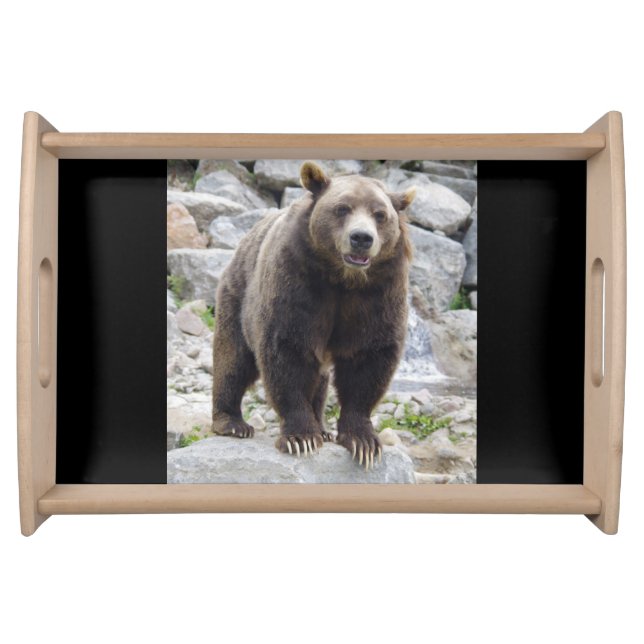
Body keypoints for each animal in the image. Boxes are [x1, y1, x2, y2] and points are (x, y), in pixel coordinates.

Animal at [211, 161, 415, 470]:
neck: (343, 279)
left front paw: (363, 442)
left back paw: (323, 427)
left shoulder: (379, 292)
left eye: (380, 214)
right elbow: (288, 350)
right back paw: (231, 422)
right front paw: (301, 437)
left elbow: (369, 358)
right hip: (238, 293)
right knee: (233, 357)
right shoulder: (298, 280)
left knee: (320, 377)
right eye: (342, 208)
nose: (361, 238)